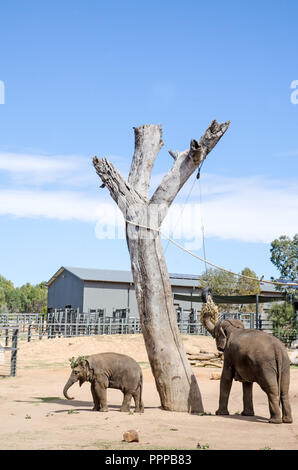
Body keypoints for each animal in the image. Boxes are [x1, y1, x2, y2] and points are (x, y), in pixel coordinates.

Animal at [201, 288, 292, 424]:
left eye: (215, 333)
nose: (208, 303)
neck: (234, 327)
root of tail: (278, 350)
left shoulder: (229, 354)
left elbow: (226, 378)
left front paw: (220, 413)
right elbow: (247, 382)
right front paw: (247, 414)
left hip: (265, 366)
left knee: (272, 389)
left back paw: (274, 421)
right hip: (285, 365)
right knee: (284, 391)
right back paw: (287, 421)